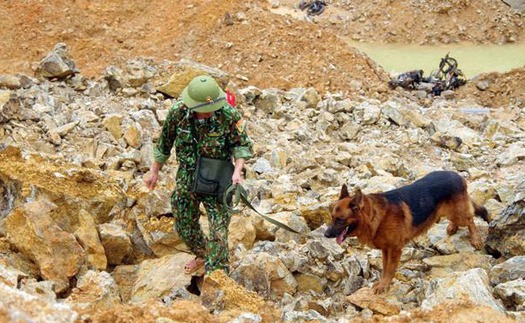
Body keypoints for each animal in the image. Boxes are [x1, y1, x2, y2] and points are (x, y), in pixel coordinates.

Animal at [324, 171, 488, 294]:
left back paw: (476, 239)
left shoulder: (394, 250)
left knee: (471, 219)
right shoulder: (386, 250)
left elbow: (390, 269)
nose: (325, 235)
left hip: (458, 213)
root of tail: (456, 174)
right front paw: (382, 283)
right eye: (332, 217)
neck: (375, 216)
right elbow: (385, 268)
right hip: (452, 213)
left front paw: (384, 285)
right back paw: (453, 227)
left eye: (340, 220)